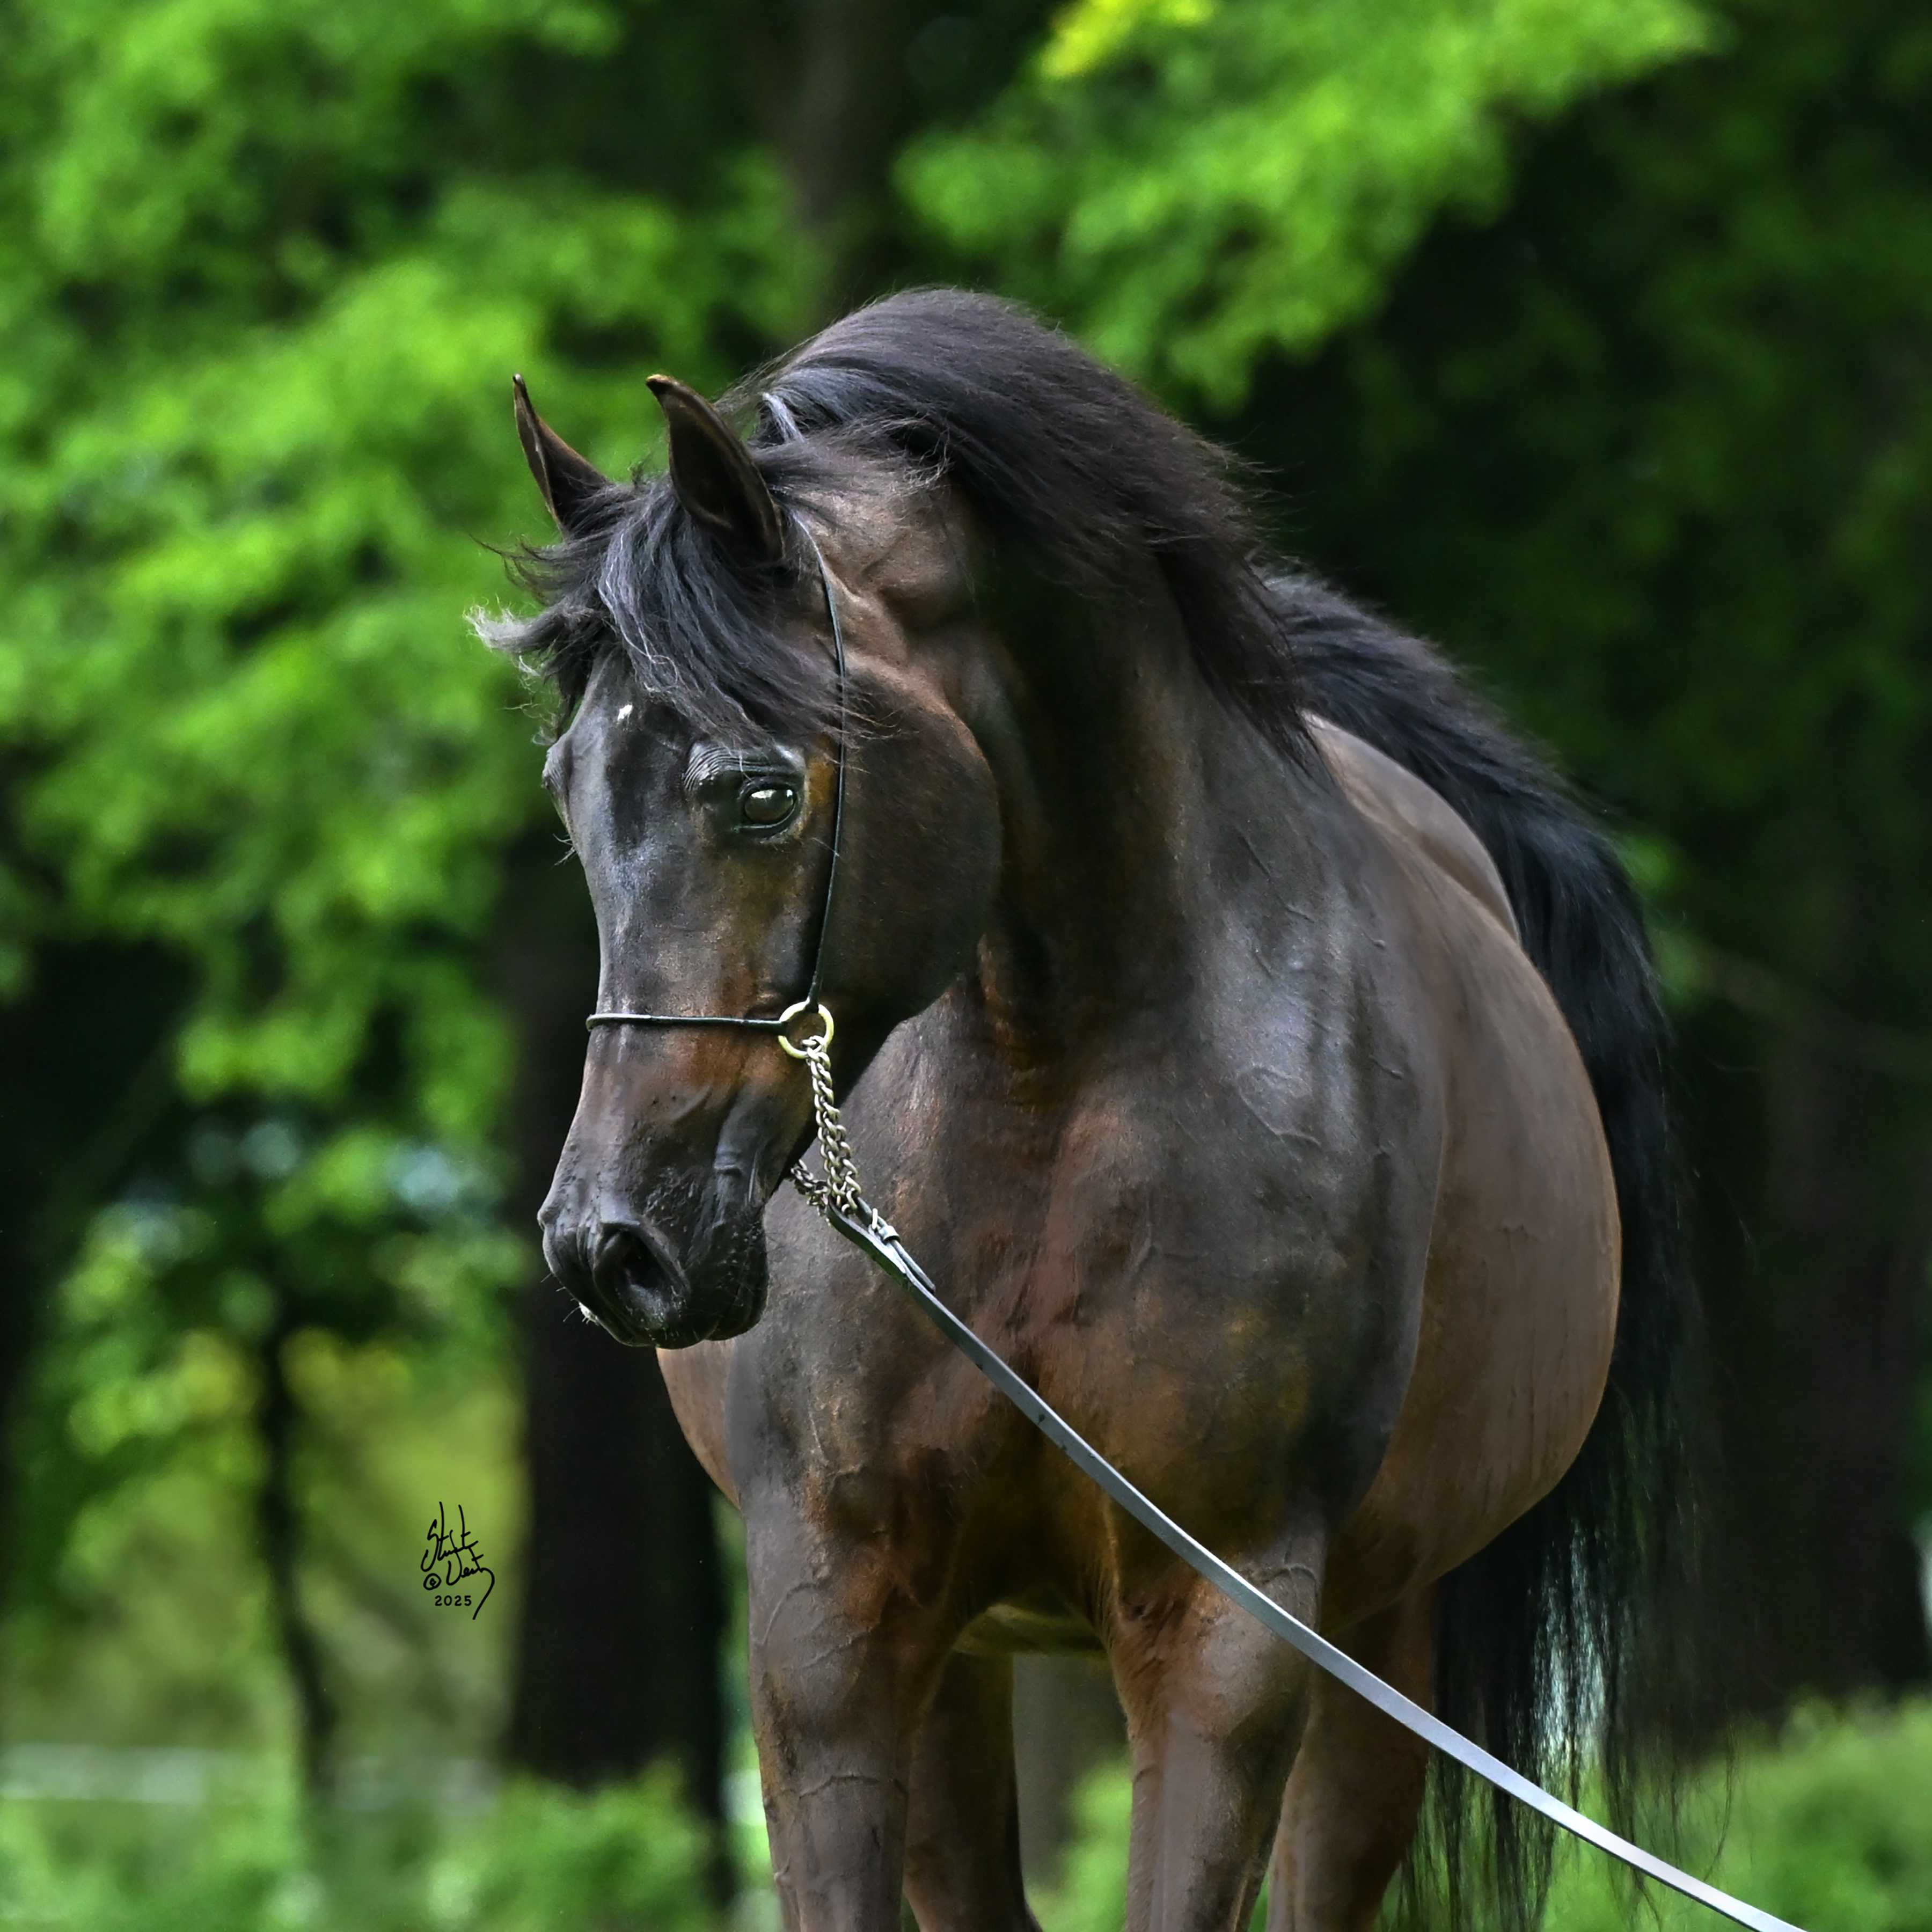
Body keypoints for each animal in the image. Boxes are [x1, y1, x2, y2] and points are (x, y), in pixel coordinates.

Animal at [480, 288, 1696, 1932]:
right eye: (569, 789)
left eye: (760, 792)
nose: (614, 1241)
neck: (1043, 1086)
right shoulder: (831, 1618)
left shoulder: (1227, 1627)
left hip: (1381, 1638)